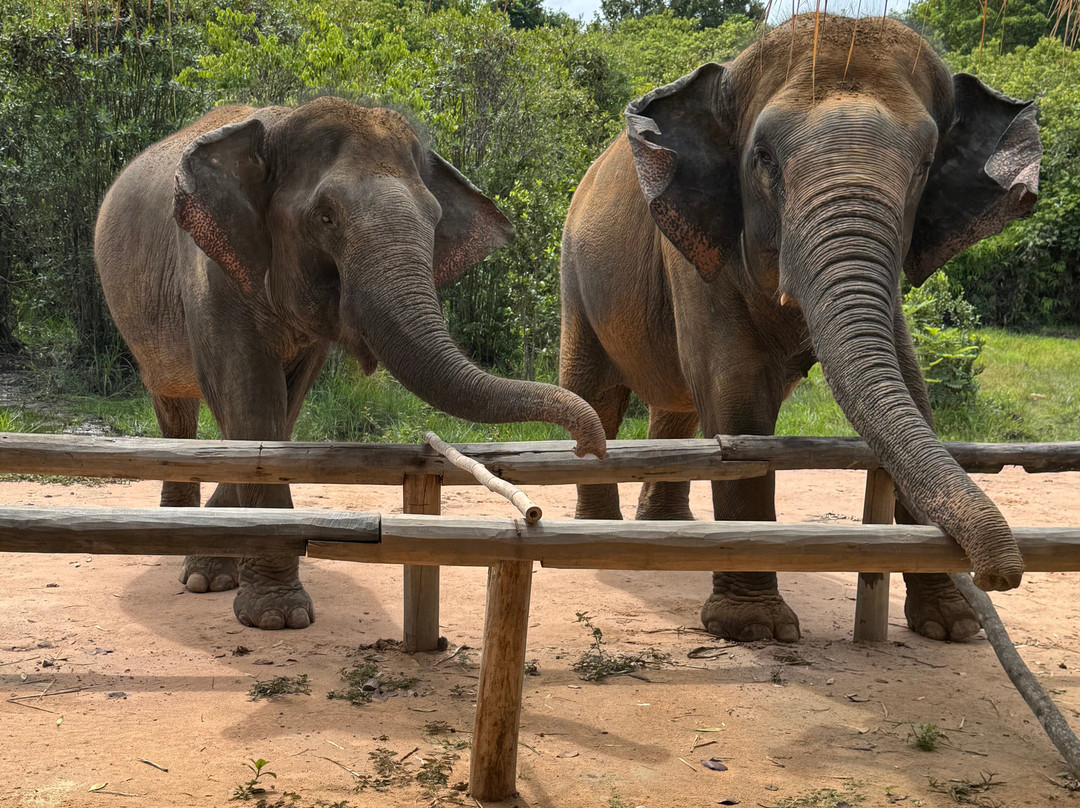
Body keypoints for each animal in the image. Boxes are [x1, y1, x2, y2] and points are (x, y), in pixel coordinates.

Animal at [95, 97, 606, 630]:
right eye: (325, 218)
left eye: (435, 217)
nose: (588, 448)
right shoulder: (210, 270)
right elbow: (248, 403)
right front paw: (276, 616)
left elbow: (282, 412)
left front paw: (234, 572)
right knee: (173, 406)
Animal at [558, 15, 1041, 643]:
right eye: (764, 158)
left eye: (924, 166)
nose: (1000, 577)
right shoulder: (697, 252)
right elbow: (736, 398)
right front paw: (754, 629)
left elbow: (914, 395)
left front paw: (952, 626)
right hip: (576, 272)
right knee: (595, 395)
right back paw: (601, 543)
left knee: (677, 405)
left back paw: (667, 532)